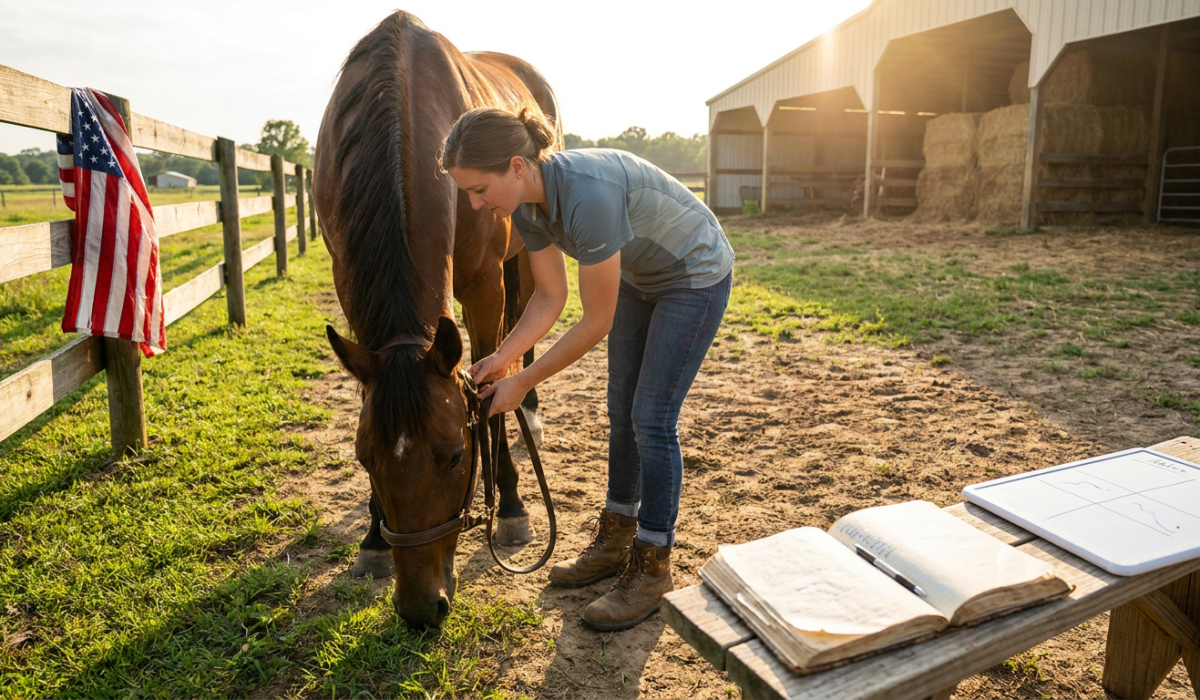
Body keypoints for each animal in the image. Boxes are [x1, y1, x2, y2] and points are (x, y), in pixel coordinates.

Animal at [311, 11, 559, 627]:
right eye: (364, 458)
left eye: (453, 457)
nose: (421, 609)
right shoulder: (350, 288)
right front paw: (374, 537)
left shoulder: (484, 285)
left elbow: (491, 397)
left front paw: (512, 506)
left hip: (524, 257)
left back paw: (533, 411)